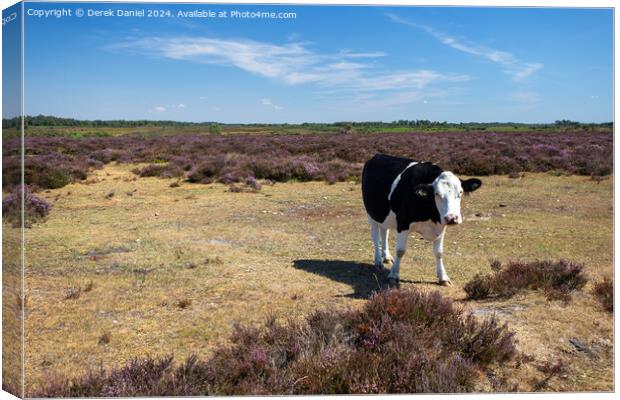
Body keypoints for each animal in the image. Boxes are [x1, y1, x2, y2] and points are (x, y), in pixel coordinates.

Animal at [360, 153, 482, 288]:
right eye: (436, 194)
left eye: (460, 192)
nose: (452, 218)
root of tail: (377, 155)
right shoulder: (403, 223)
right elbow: (400, 251)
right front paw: (394, 275)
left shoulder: (441, 226)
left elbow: (439, 252)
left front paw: (443, 277)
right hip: (371, 213)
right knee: (375, 235)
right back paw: (378, 261)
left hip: (384, 214)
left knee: (384, 231)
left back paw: (386, 257)